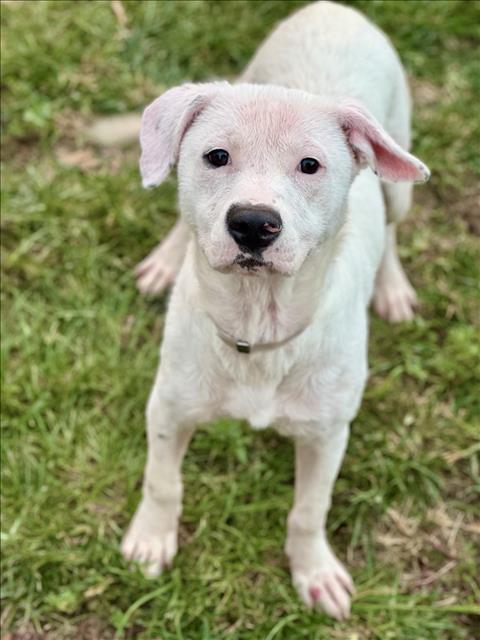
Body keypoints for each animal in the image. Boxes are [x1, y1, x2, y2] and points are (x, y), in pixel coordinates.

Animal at [122, 0, 430, 620]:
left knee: (391, 225)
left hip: (400, 177)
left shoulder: (328, 434)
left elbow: (309, 511)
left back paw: (392, 288)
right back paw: (165, 261)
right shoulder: (168, 406)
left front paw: (314, 572)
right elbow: (162, 480)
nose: (252, 223)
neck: (256, 327)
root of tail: (333, 9)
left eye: (310, 166)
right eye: (216, 156)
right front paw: (151, 538)